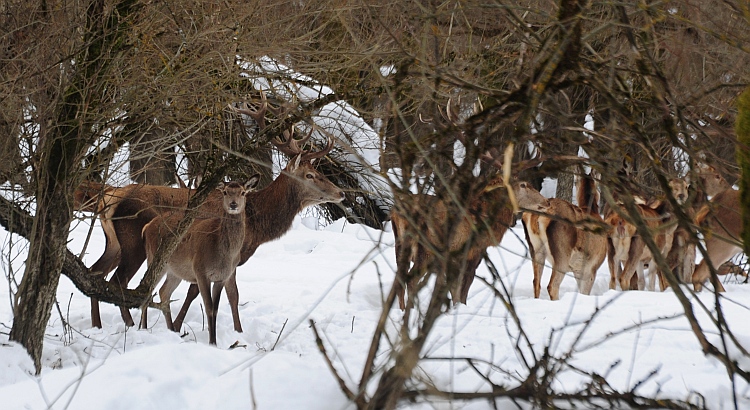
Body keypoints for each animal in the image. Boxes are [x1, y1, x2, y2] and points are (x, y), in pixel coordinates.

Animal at [80, 93, 346, 330]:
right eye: (310, 175)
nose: (341, 192)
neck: (256, 223)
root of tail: (109, 197)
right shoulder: (221, 256)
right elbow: (210, 293)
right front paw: (183, 327)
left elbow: (216, 294)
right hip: (133, 239)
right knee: (118, 280)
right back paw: (129, 324)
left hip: (115, 243)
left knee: (95, 273)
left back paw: (97, 324)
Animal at [524, 168, 612, 300]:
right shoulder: (591, 268)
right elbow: (584, 292)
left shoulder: (578, 270)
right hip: (562, 253)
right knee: (552, 285)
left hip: (535, 249)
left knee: (536, 282)